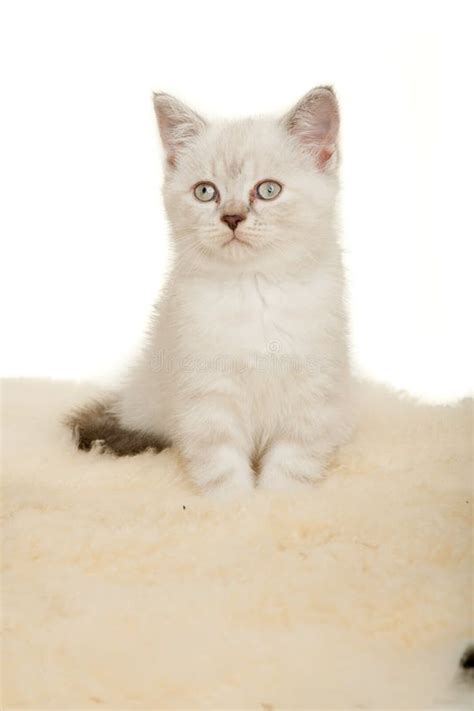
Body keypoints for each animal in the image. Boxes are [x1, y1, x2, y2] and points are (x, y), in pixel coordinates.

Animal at [68, 89, 354, 498]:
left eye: (268, 190)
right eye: (206, 192)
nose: (232, 217)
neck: (254, 288)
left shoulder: (312, 394)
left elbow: (290, 466)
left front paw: (278, 502)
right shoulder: (207, 396)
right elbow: (222, 466)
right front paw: (236, 505)